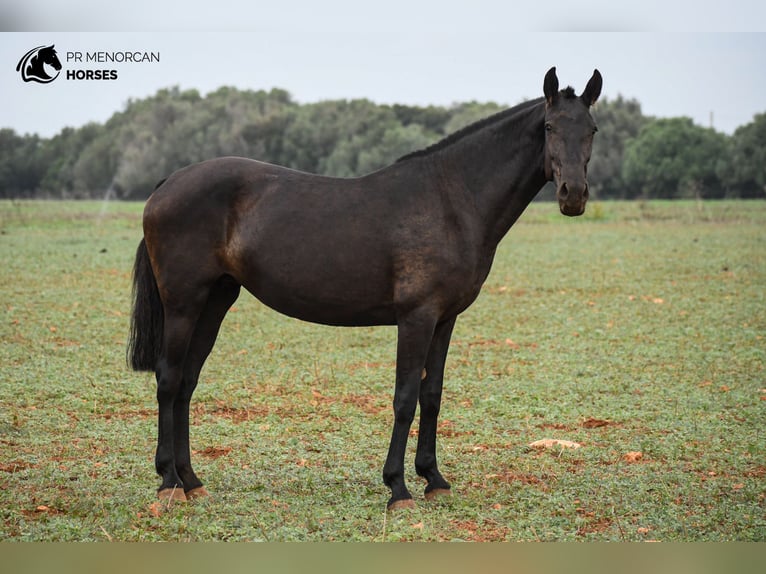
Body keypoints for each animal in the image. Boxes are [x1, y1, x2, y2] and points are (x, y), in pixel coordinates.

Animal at [129, 67, 604, 512]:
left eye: (592, 129)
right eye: (549, 127)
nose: (573, 195)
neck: (452, 200)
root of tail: (167, 183)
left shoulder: (445, 319)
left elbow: (432, 395)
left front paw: (434, 479)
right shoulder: (416, 317)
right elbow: (405, 397)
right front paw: (398, 487)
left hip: (215, 301)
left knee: (187, 382)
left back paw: (192, 481)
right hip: (184, 303)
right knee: (169, 379)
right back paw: (168, 483)